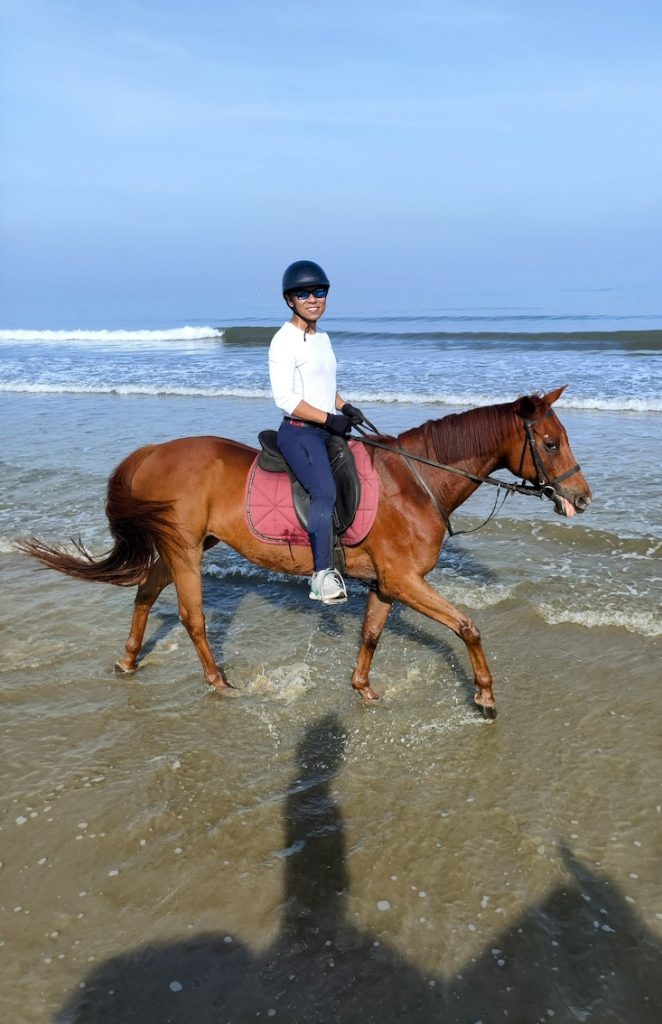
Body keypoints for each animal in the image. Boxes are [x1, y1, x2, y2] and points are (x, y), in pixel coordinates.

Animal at [19, 387, 590, 716]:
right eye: (550, 442)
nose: (582, 498)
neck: (416, 481)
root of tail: (154, 451)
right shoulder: (405, 580)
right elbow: (468, 626)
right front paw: (486, 696)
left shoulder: (388, 583)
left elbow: (371, 635)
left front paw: (363, 688)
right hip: (183, 549)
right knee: (192, 615)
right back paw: (218, 682)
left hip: (179, 545)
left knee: (144, 592)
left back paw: (128, 660)